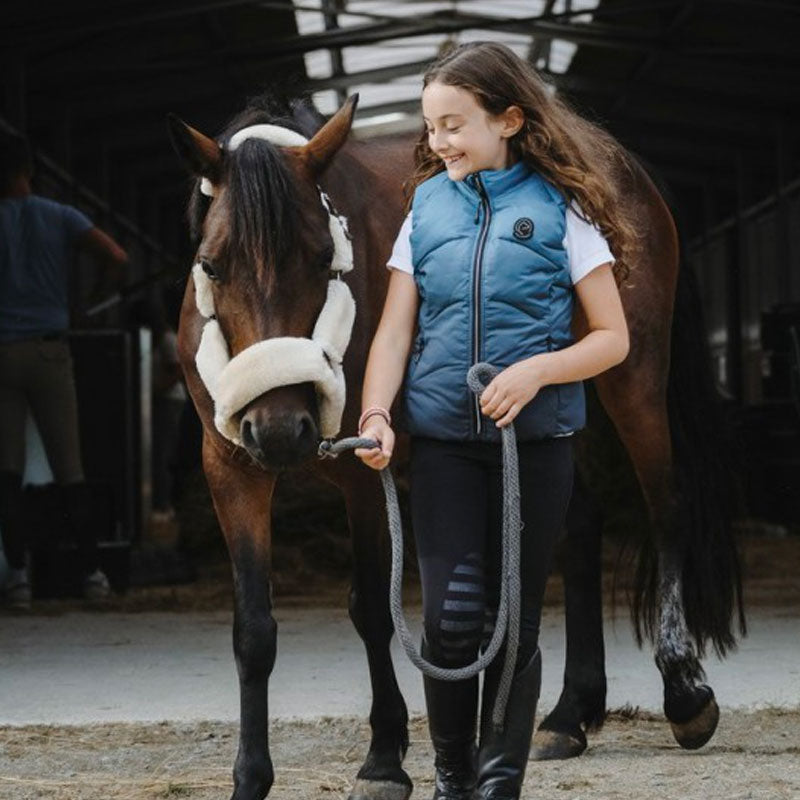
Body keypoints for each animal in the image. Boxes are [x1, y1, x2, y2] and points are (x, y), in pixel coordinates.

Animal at [167, 95, 744, 800]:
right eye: (212, 264)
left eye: (322, 258)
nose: (280, 430)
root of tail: (617, 160)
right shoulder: (230, 468)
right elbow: (253, 630)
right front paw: (250, 777)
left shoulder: (364, 468)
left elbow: (371, 609)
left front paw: (384, 759)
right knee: (578, 526)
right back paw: (569, 715)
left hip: (632, 378)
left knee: (666, 507)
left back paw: (685, 691)